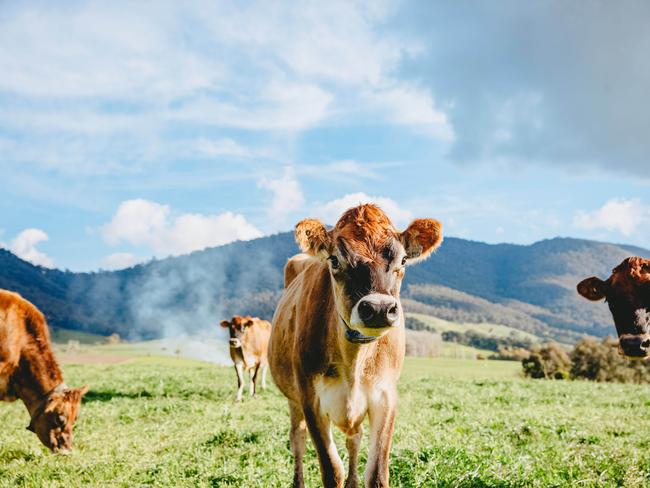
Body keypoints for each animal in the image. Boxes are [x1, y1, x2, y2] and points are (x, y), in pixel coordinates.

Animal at [268, 205, 440, 488]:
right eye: (335, 260)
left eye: (403, 260)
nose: (379, 308)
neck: (353, 362)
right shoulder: (310, 399)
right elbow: (331, 470)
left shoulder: (385, 396)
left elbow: (377, 474)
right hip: (293, 400)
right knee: (298, 440)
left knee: (354, 439)